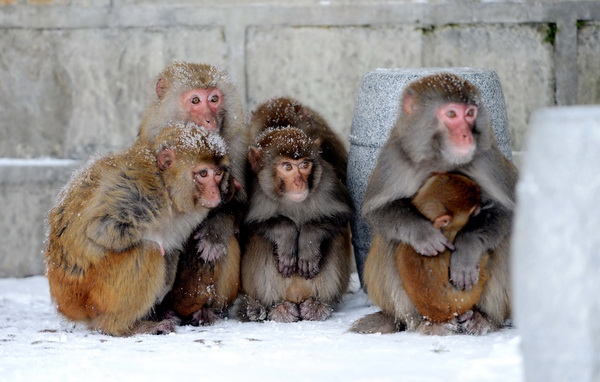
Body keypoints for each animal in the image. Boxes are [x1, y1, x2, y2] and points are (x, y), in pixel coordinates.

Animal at [44, 124, 231, 336]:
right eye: (203, 174)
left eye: (218, 173)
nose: (215, 194)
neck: (165, 184)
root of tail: (65, 304)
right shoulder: (141, 191)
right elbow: (100, 229)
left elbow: (173, 245)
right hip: (91, 296)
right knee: (147, 250)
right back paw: (120, 327)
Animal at [137, 62, 247, 326]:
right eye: (195, 100)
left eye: (214, 99)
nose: (209, 119)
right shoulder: (153, 136)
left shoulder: (236, 142)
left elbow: (239, 204)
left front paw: (213, 235)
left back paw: (205, 310)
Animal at [237, 97, 354, 322]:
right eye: (287, 167)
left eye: (304, 165)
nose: (299, 182)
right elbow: (247, 224)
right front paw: (287, 235)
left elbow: (342, 214)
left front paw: (308, 242)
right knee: (260, 239)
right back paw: (276, 307)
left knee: (335, 236)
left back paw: (318, 305)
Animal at [352, 73, 516, 336]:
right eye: (451, 114)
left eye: (470, 113)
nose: (466, 136)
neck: (441, 156)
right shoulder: (394, 157)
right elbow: (377, 210)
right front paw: (423, 234)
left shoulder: (486, 158)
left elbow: (507, 210)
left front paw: (467, 248)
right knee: (389, 238)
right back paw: (426, 323)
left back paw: (483, 319)